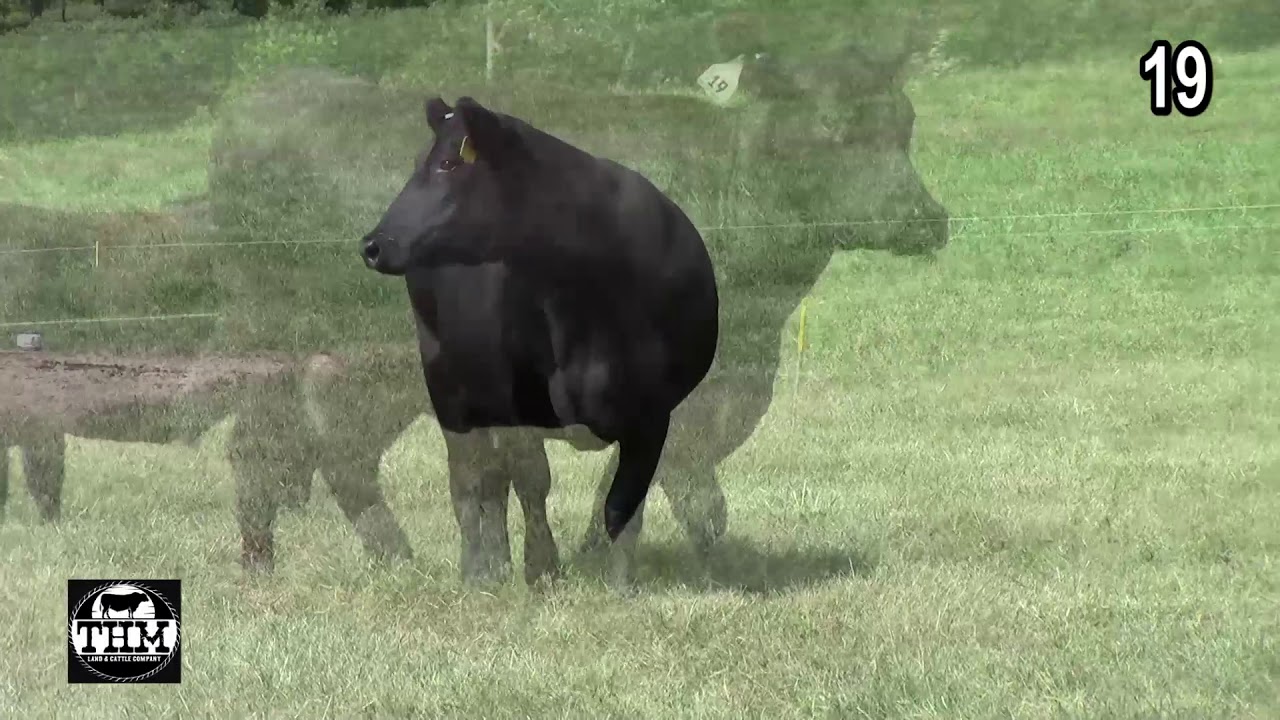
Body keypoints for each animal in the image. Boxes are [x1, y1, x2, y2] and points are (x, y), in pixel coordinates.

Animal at [359, 95, 720, 591]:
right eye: (419, 162)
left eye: (449, 162)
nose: (372, 244)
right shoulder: (518, 407)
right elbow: (531, 483)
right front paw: (541, 567)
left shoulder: (652, 416)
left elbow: (623, 506)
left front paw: (621, 583)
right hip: (450, 390)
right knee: (472, 485)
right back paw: (481, 569)